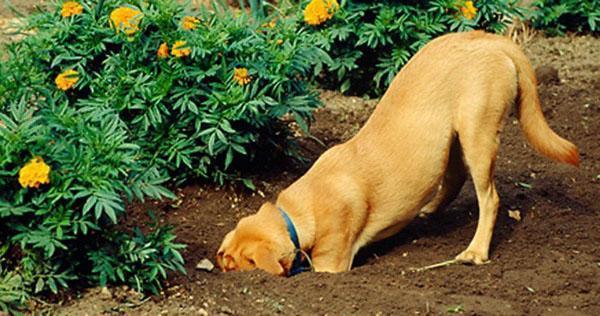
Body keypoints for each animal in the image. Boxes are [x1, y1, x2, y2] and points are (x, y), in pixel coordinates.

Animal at [214, 30, 576, 276]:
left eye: (233, 263)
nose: (219, 263)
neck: (301, 208)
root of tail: (491, 40)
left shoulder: (332, 262)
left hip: (478, 131)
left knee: (490, 199)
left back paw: (474, 252)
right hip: (452, 137)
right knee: (455, 177)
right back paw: (429, 211)